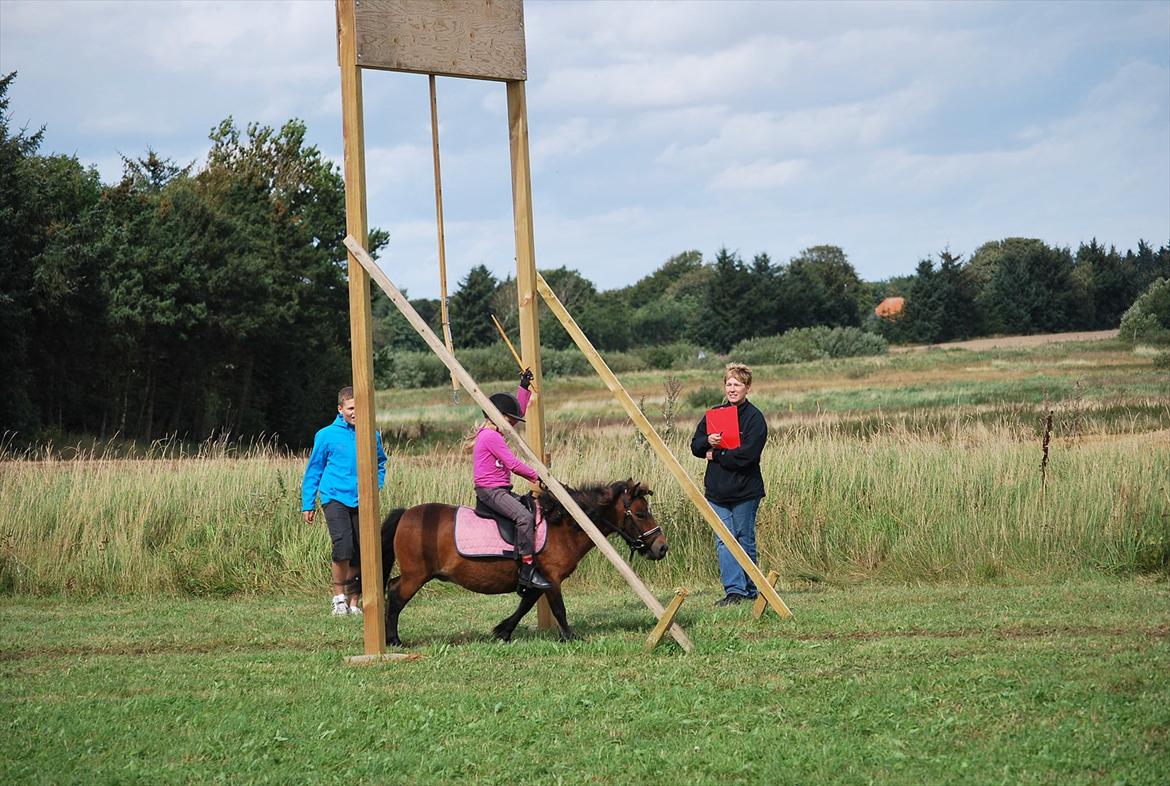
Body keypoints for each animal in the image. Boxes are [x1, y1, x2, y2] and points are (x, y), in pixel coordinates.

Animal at [376, 479, 669, 645]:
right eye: (640, 514)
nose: (662, 547)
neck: (564, 524)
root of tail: (406, 514)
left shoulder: (538, 578)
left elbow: (525, 605)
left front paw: (503, 632)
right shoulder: (551, 578)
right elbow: (559, 609)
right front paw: (570, 637)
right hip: (416, 575)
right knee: (396, 595)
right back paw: (393, 640)